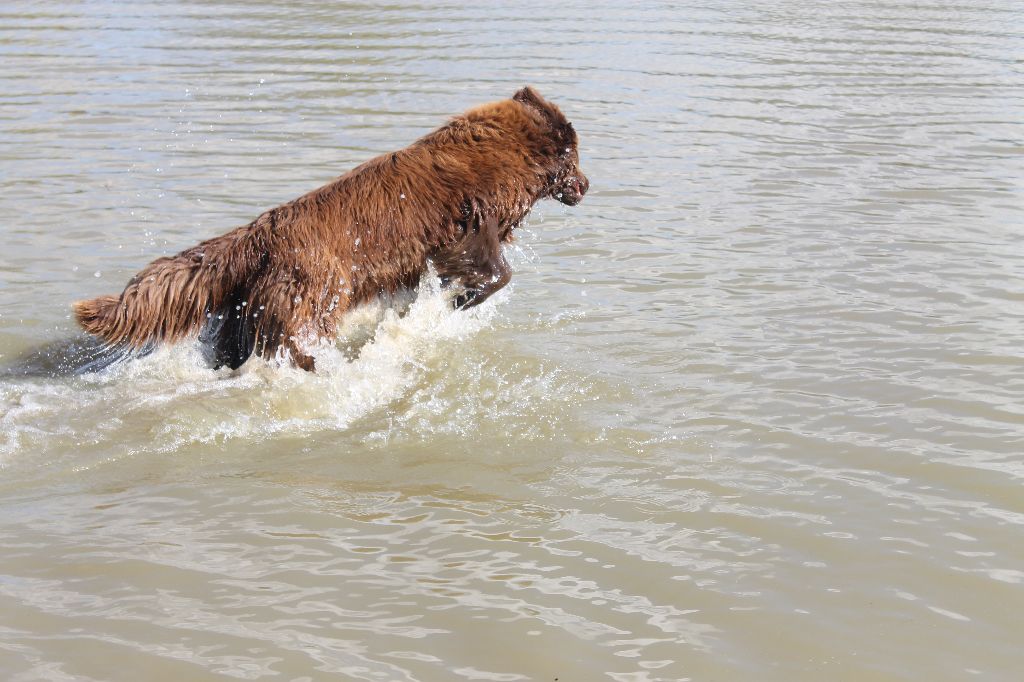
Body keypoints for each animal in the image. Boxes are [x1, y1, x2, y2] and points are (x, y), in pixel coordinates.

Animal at [72, 87, 589, 368]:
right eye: (575, 157)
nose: (586, 186)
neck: (511, 154)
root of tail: (256, 235)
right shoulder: (472, 228)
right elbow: (496, 272)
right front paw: (461, 300)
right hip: (315, 293)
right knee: (296, 342)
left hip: (247, 306)